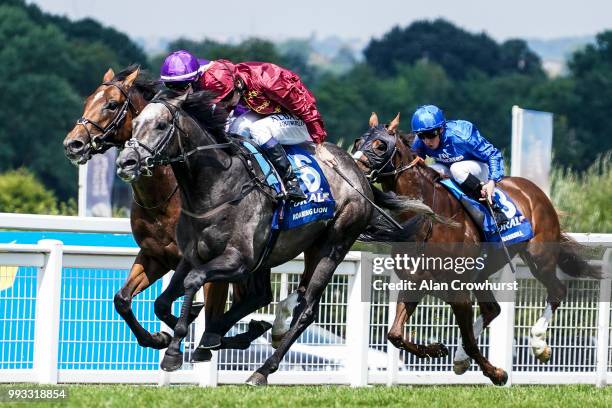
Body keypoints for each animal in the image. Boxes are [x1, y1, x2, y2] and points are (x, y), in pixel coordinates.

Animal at [62, 67, 268, 360]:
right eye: (87, 101)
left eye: (111, 104)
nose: (74, 144)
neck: (162, 196)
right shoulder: (154, 255)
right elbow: (123, 300)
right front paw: (157, 337)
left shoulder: (206, 259)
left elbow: (201, 309)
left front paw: (190, 328)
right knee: (259, 296)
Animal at [115, 90, 438, 386]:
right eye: (135, 124)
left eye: (161, 125)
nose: (126, 162)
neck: (217, 187)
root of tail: (360, 176)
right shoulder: (190, 256)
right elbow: (160, 302)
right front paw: (174, 334)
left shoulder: (238, 260)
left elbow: (194, 282)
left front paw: (174, 351)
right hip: (297, 250)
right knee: (272, 298)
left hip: (333, 245)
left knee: (306, 310)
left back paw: (261, 369)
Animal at [352, 114, 600, 386]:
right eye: (358, 141)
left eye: (380, 145)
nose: (355, 167)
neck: (427, 220)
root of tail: (532, 189)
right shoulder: (415, 282)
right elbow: (395, 334)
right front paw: (437, 350)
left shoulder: (457, 289)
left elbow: (470, 341)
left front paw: (498, 373)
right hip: (482, 273)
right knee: (493, 309)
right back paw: (461, 358)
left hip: (539, 257)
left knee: (556, 290)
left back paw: (537, 344)